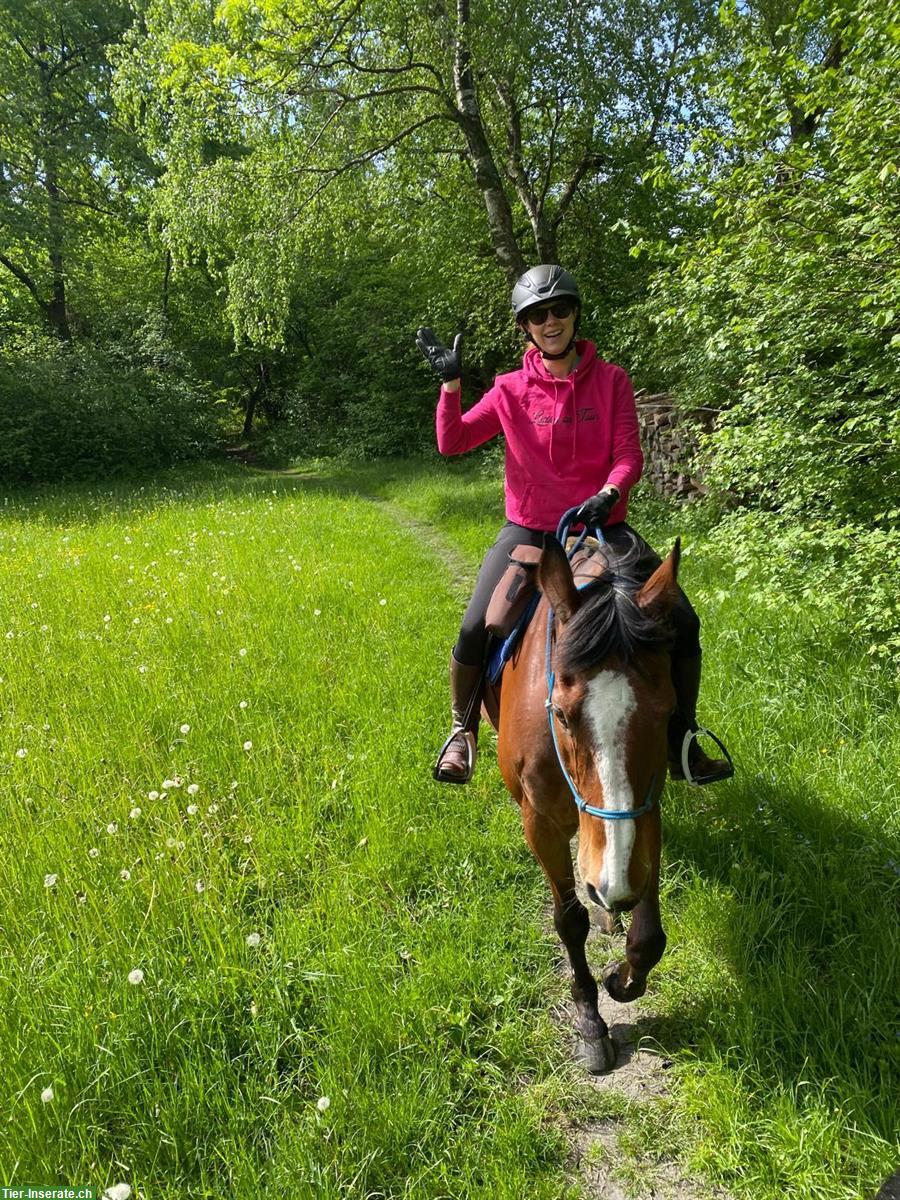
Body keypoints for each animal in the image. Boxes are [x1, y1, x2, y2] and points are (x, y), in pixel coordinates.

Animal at [489, 530, 681, 1075]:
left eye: (668, 712)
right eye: (561, 714)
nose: (611, 885)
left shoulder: (646, 804)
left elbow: (649, 933)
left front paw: (623, 978)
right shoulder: (539, 822)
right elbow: (569, 922)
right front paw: (591, 1020)